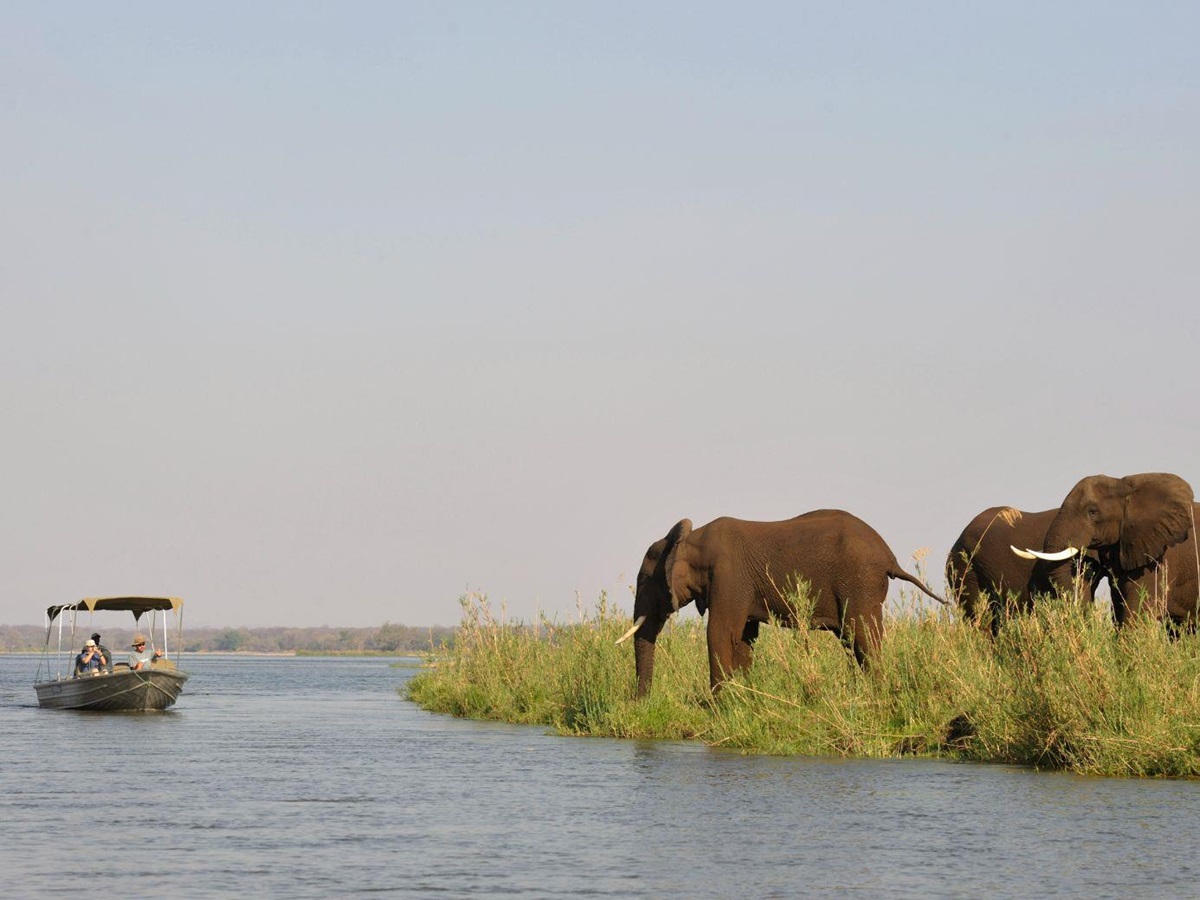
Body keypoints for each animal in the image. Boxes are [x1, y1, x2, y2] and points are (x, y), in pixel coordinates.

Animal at [617, 510, 946, 697]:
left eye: (644, 580)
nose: (642, 703)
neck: (689, 539)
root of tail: (890, 556)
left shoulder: (729, 576)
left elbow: (721, 633)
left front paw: (716, 705)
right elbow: (743, 639)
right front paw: (742, 699)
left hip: (860, 583)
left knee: (864, 638)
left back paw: (877, 695)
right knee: (852, 641)